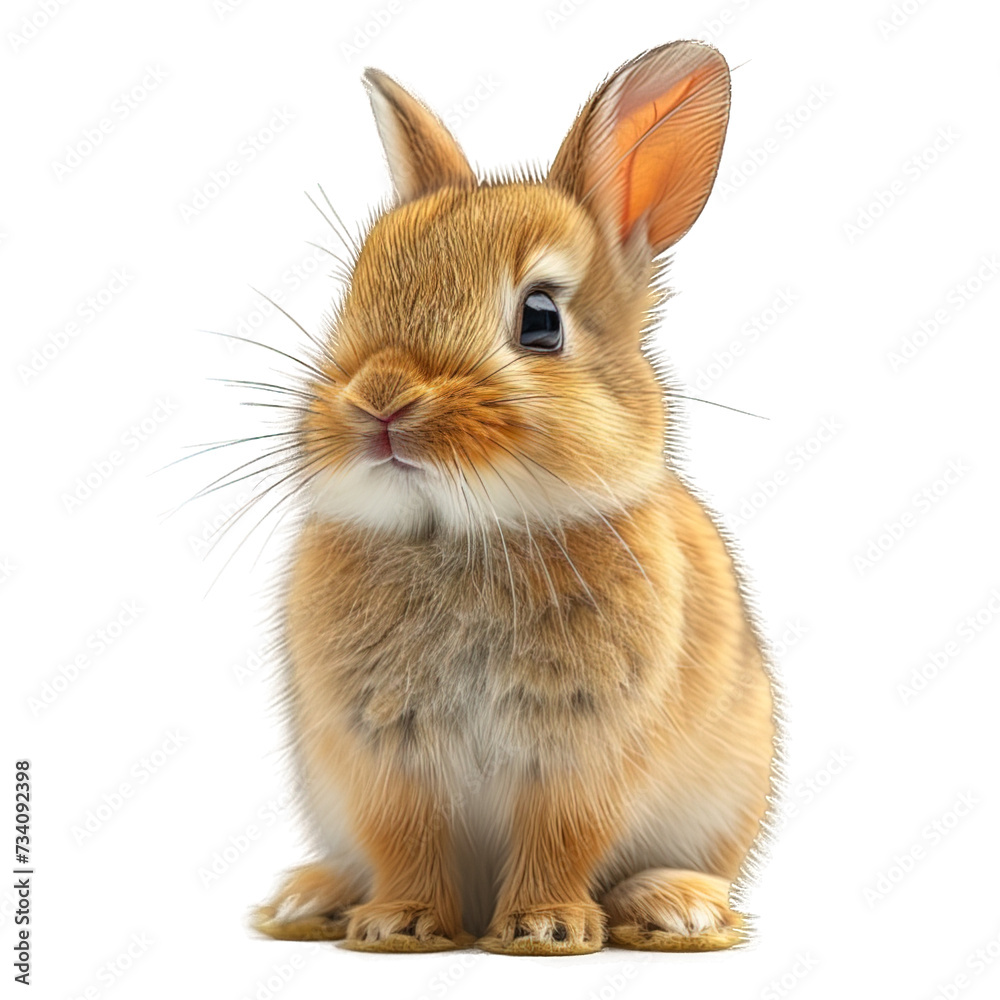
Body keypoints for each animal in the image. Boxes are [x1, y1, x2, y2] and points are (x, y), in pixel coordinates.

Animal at [250, 39, 778, 955]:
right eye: (353, 295)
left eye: (540, 319)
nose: (380, 399)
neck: (456, 535)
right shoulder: (384, 759)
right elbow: (405, 839)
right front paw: (399, 924)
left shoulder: (581, 755)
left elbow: (561, 836)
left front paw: (543, 929)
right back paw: (310, 900)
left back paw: (678, 907)